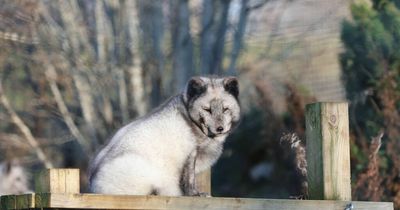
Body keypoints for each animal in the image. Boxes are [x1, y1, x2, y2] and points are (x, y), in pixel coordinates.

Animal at [89, 76, 241, 196]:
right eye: (207, 109)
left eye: (225, 109)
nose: (220, 128)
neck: (191, 121)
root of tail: (93, 187)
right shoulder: (190, 154)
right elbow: (189, 179)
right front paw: (194, 194)